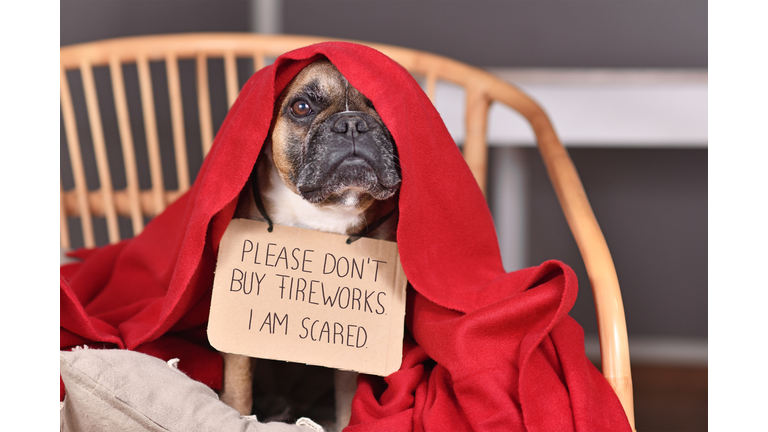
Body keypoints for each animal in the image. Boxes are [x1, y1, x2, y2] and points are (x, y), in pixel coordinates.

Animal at [218, 60, 402, 428]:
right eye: (301, 108)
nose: (352, 124)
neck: (324, 213)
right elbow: (239, 386)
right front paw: (238, 416)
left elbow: (348, 394)